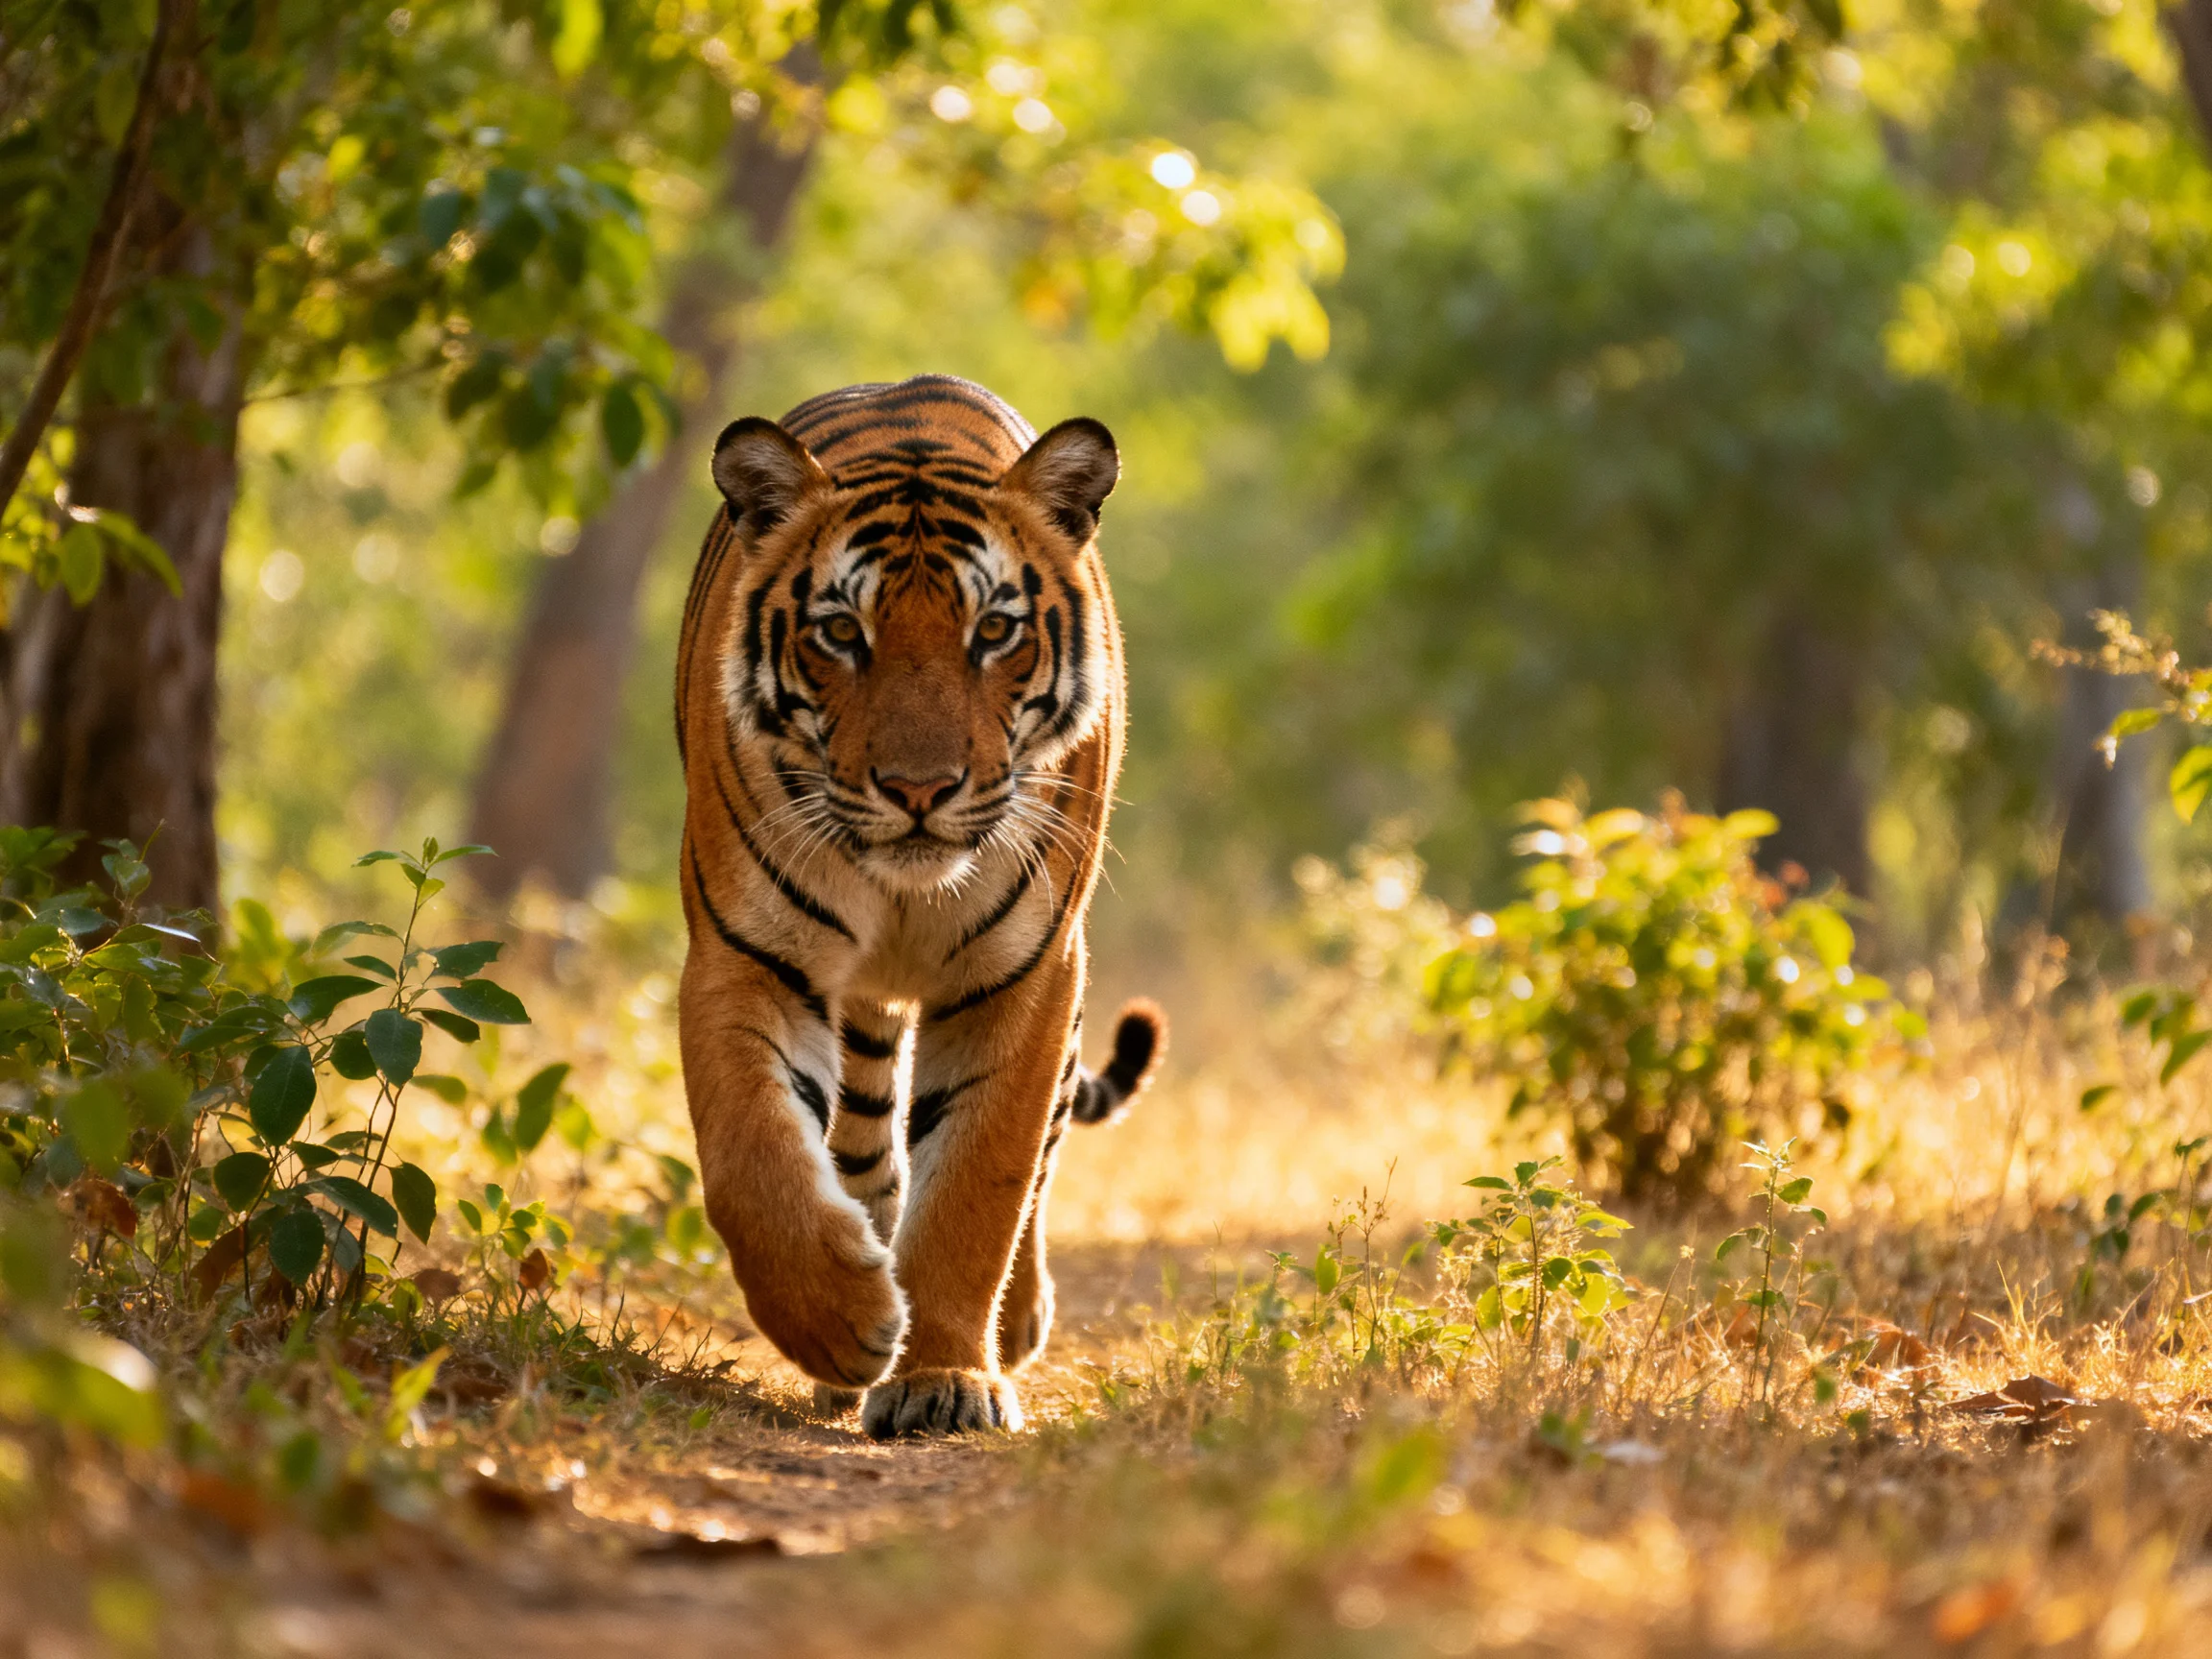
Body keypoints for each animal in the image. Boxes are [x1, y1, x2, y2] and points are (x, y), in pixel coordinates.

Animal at [673, 374, 1165, 1438]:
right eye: (840, 633)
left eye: (995, 631)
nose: (918, 789)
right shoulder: (746, 954)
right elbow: (749, 1155)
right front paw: (843, 1326)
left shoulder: (1026, 974)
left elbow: (983, 1184)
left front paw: (943, 1377)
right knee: (863, 1148)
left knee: (1038, 1156)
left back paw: (1013, 1325)